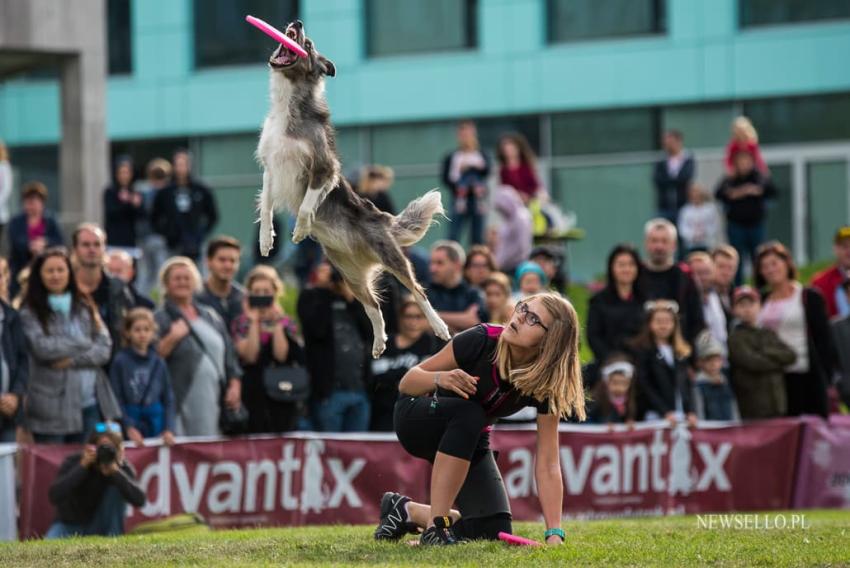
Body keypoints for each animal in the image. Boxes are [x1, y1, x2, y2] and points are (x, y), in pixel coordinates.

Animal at [253, 23, 448, 360]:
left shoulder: (323, 168)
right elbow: (265, 206)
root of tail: (383, 218)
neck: (289, 104)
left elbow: (307, 205)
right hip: (349, 275)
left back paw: (439, 327)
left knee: (418, 292)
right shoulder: (271, 168)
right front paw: (267, 240)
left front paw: (300, 230)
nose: (297, 23)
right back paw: (380, 342)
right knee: (374, 307)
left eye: (307, 44)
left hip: (391, 256)